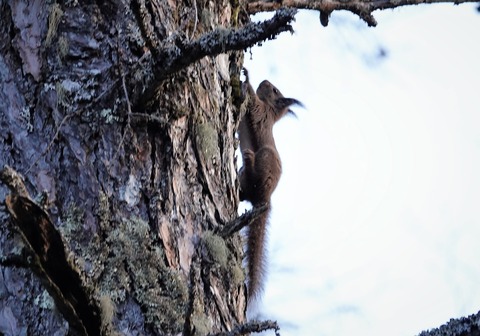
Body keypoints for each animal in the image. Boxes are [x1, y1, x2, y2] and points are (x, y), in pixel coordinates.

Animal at [238, 67, 302, 302]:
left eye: (274, 90)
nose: (265, 81)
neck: (272, 114)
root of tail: (266, 199)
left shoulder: (261, 113)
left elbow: (254, 106)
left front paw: (246, 79)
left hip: (265, 157)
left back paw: (249, 163)